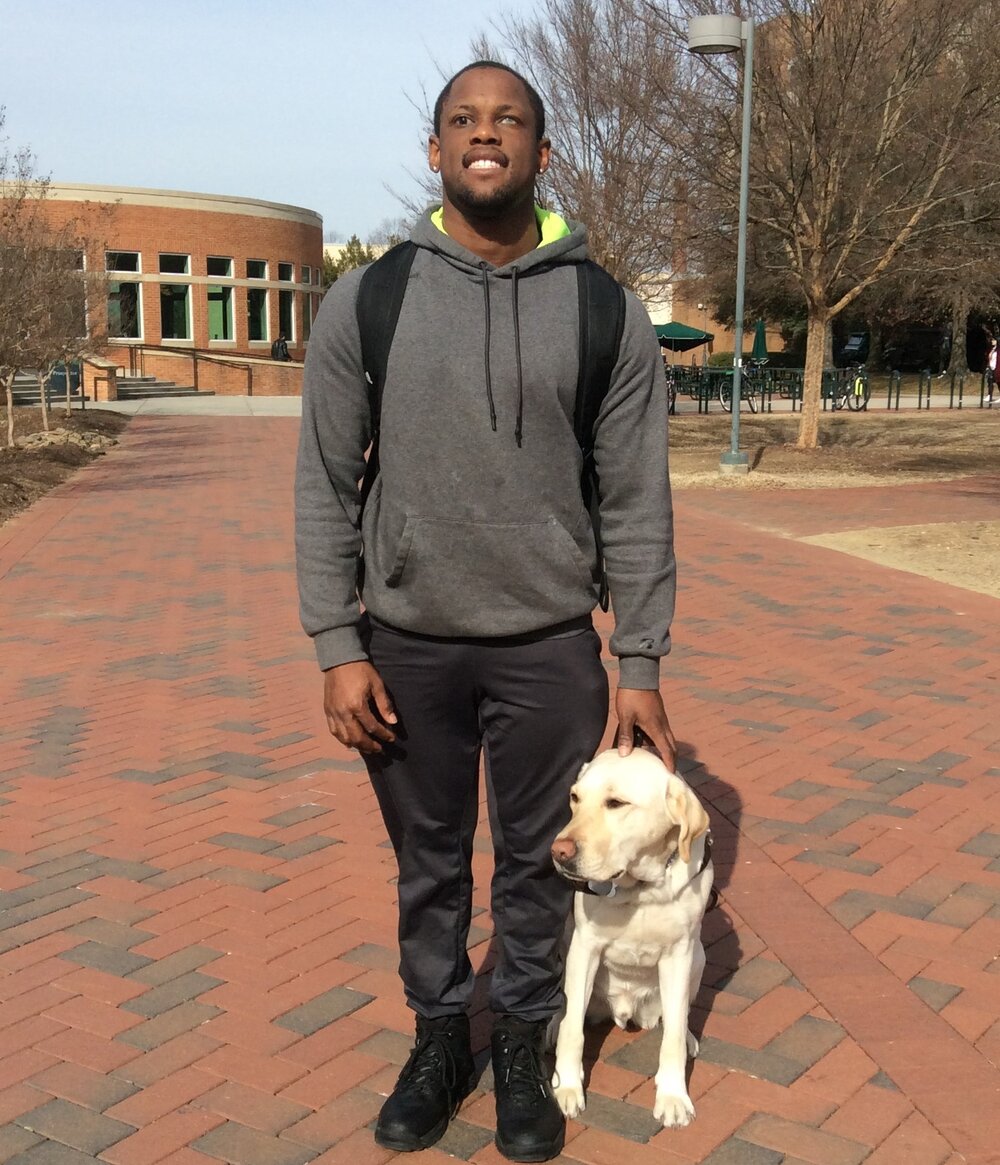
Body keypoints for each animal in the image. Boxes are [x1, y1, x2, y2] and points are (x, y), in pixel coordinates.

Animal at [545, 745, 708, 1127]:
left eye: (616, 803)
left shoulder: (679, 954)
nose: (558, 852)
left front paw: (673, 1096)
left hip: (699, 957)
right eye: (575, 798)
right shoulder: (584, 947)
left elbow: (672, 1036)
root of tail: (625, 1011)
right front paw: (568, 1087)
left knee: (677, 1017)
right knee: (568, 1011)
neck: (640, 889)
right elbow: (574, 1031)